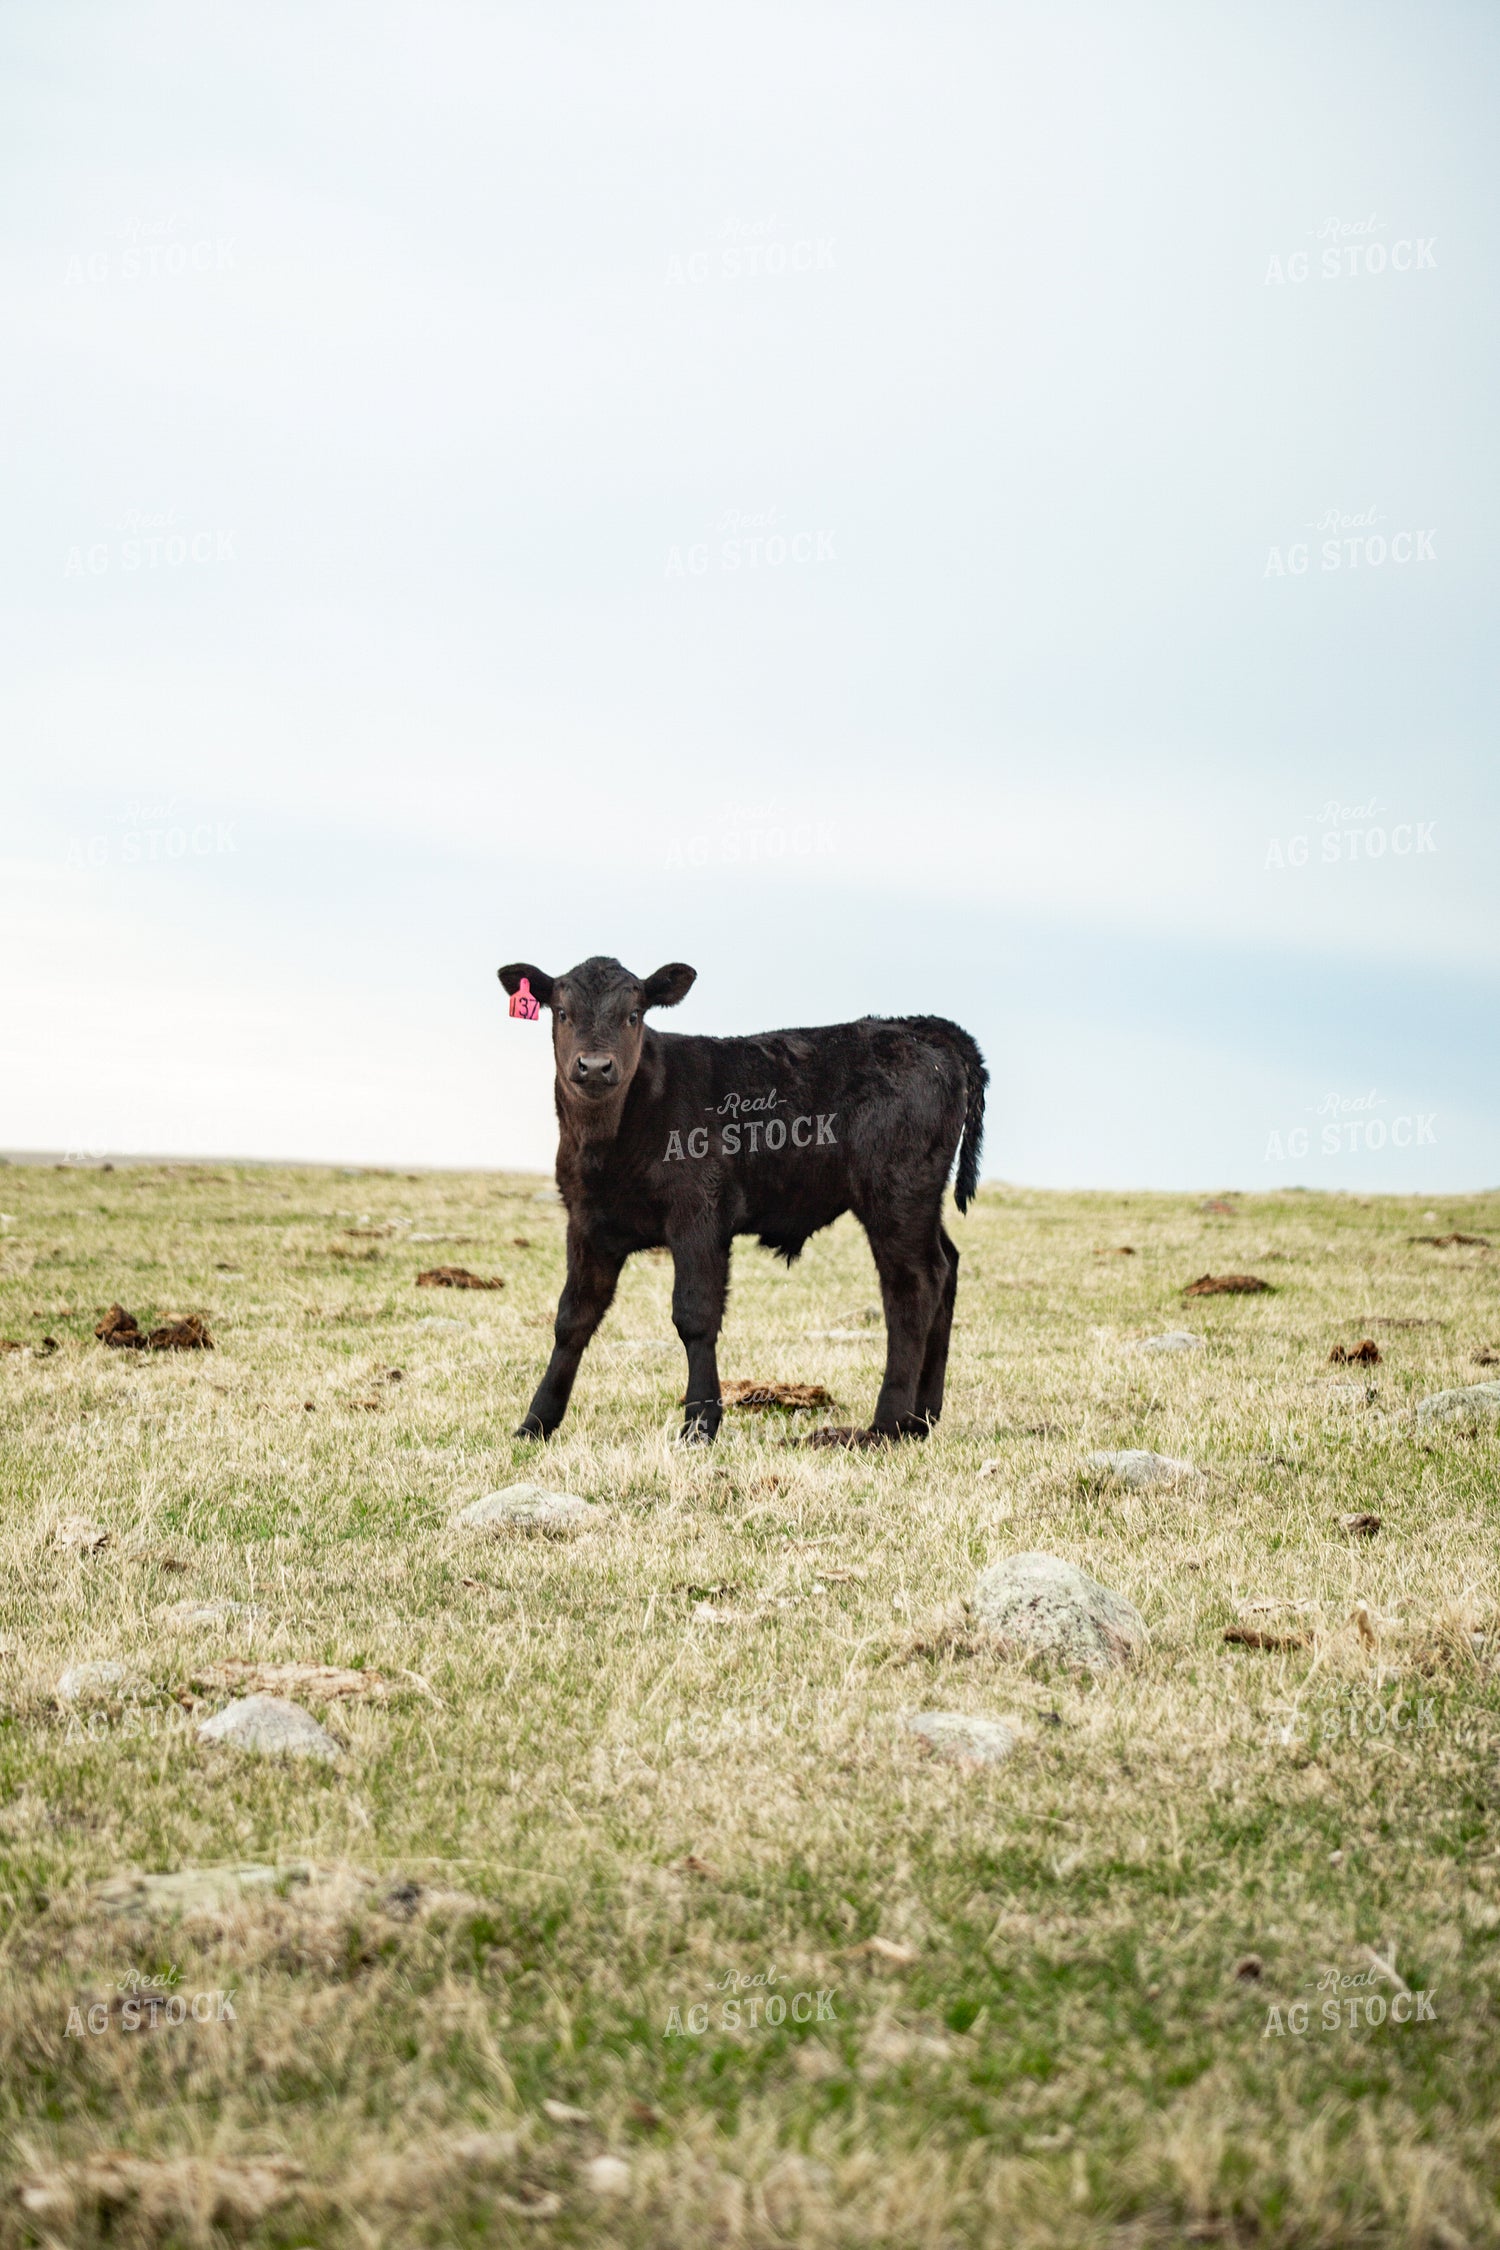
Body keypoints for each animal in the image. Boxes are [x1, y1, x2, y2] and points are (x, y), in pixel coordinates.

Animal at [497, 955, 987, 1446]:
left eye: (633, 1015)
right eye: (563, 1012)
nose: (596, 1066)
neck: (608, 1143)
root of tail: (918, 1026)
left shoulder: (698, 1214)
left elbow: (694, 1315)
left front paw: (700, 1423)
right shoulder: (586, 1222)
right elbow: (573, 1318)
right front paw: (535, 1422)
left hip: (896, 1193)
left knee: (913, 1284)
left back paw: (887, 1424)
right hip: (921, 1199)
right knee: (946, 1265)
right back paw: (923, 1418)